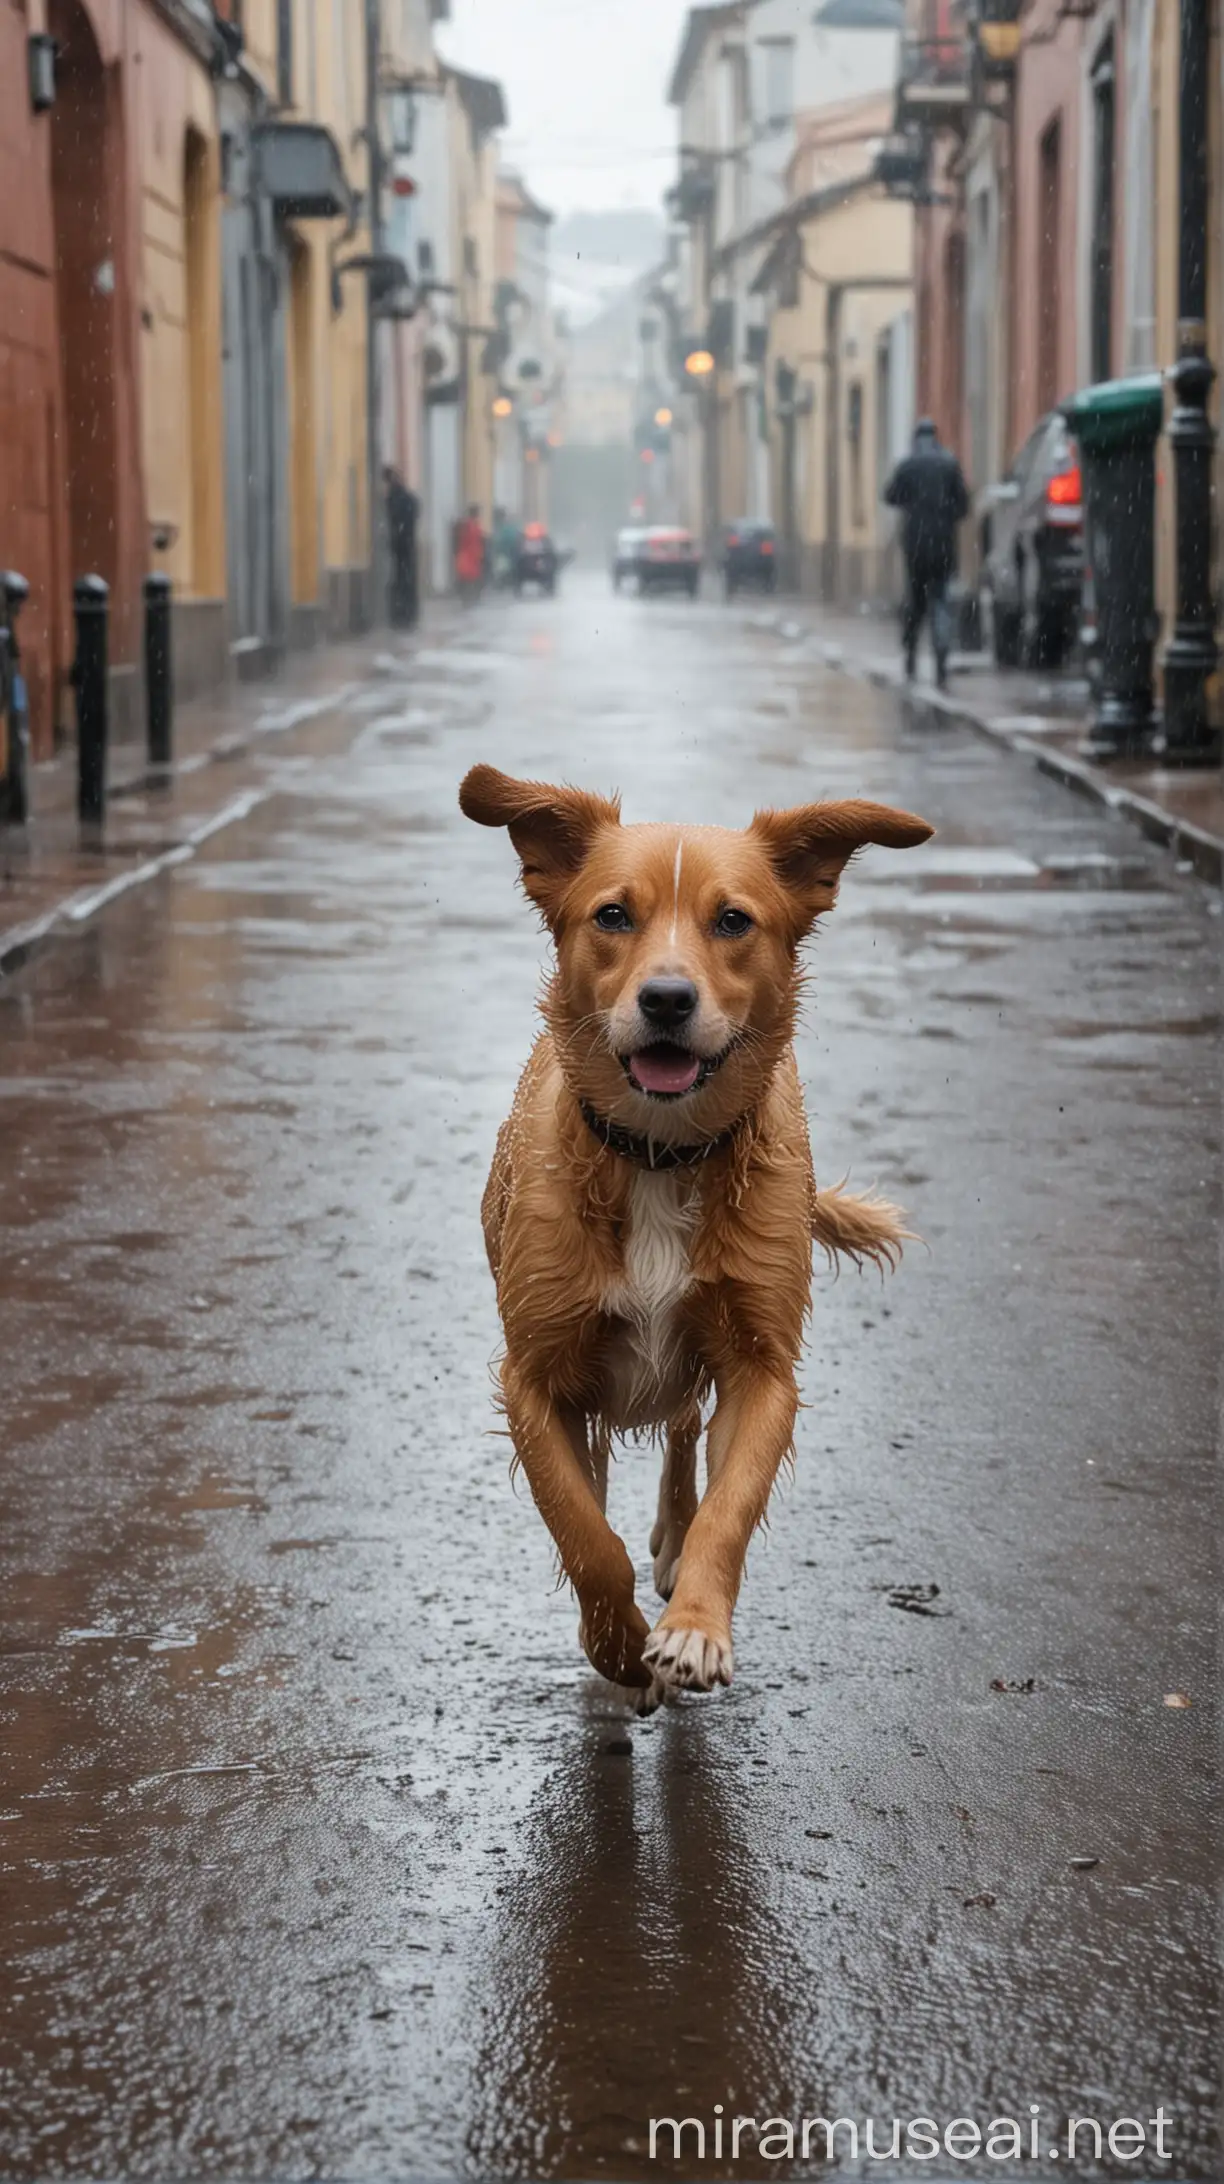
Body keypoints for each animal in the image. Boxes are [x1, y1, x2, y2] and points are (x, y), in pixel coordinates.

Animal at [456, 764, 926, 1703]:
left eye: (733, 920)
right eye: (612, 915)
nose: (667, 999)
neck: (659, 1154)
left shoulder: (763, 1368)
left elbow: (728, 1508)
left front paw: (693, 1628)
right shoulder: (536, 1380)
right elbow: (584, 1534)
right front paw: (615, 1646)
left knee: (680, 1433)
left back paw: (672, 1554)